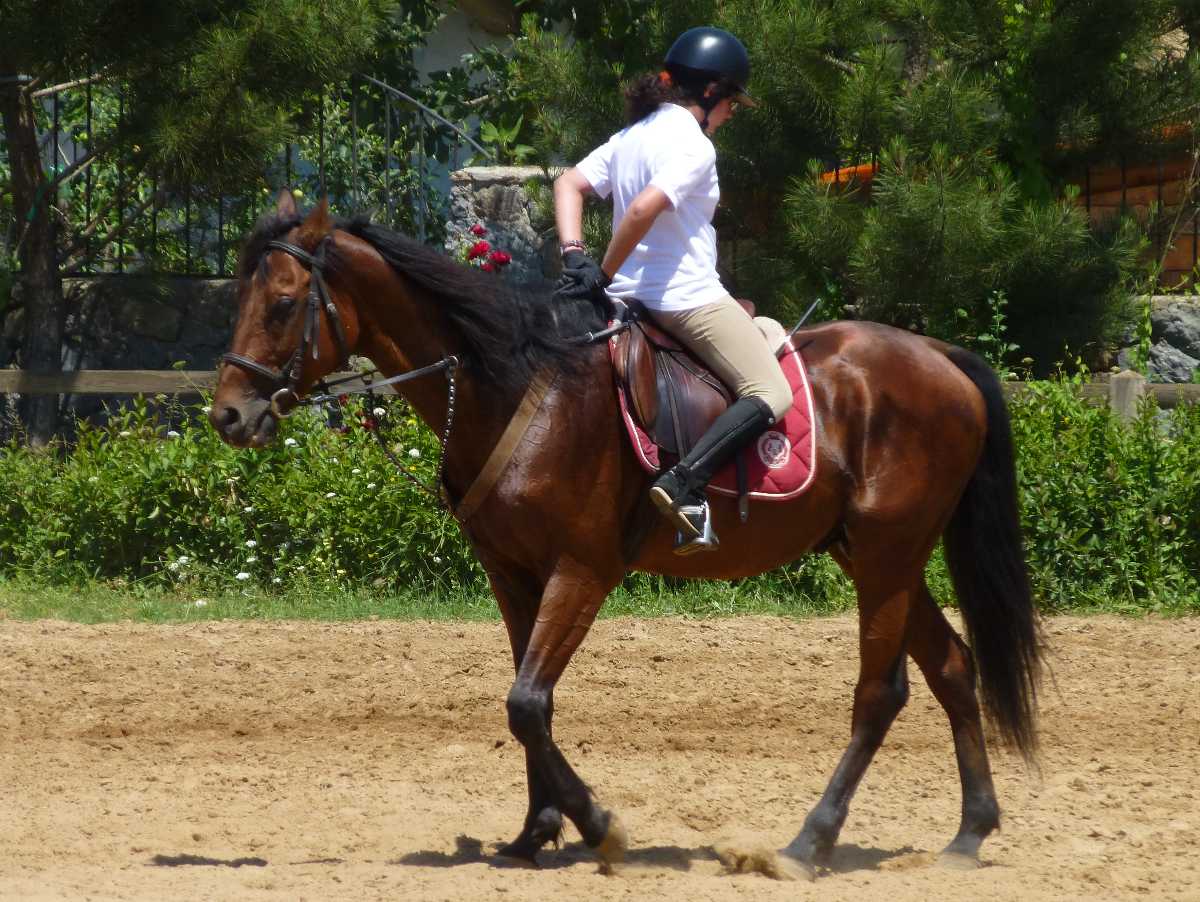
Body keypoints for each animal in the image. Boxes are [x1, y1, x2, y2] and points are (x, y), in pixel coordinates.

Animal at [213, 194, 1041, 878]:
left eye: (283, 303)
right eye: (241, 298)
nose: (227, 415)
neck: (517, 383)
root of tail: (940, 356)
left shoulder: (583, 569)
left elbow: (527, 703)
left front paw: (597, 826)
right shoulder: (512, 573)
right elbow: (529, 704)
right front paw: (534, 832)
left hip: (885, 555)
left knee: (881, 692)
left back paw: (808, 844)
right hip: (875, 554)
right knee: (952, 667)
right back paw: (969, 833)